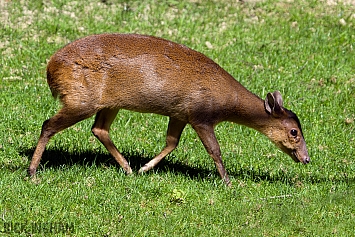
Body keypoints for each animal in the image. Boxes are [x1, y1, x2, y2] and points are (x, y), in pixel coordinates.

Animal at [29, 33, 310, 185]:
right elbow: (215, 151)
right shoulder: (200, 114)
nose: (306, 158)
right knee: (48, 125)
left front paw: (145, 168)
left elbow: (172, 142)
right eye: (294, 132)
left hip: (108, 102)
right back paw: (32, 171)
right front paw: (229, 182)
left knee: (99, 129)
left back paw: (128, 168)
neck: (226, 103)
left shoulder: (179, 113)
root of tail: (51, 68)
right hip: (81, 99)